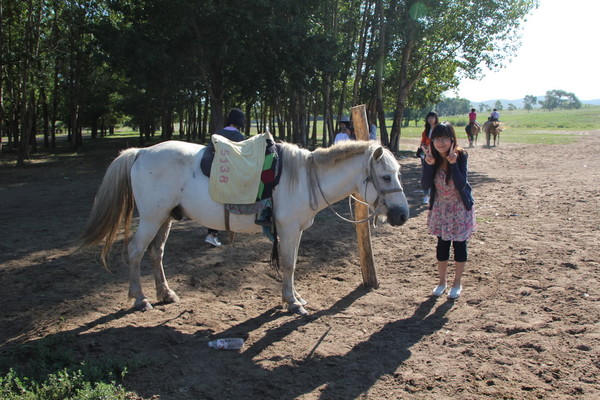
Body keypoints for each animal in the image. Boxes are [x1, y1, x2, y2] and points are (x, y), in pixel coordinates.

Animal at [77, 139, 410, 314]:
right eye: (385, 177)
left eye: (397, 174)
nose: (402, 215)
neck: (303, 178)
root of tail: (141, 152)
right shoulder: (288, 229)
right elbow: (288, 265)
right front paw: (292, 302)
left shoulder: (296, 231)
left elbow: (292, 263)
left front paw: (295, 297)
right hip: (150, 218)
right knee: (135, 252)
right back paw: (140, 298)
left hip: (165, 218)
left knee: (155, 253)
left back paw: (166, 294)